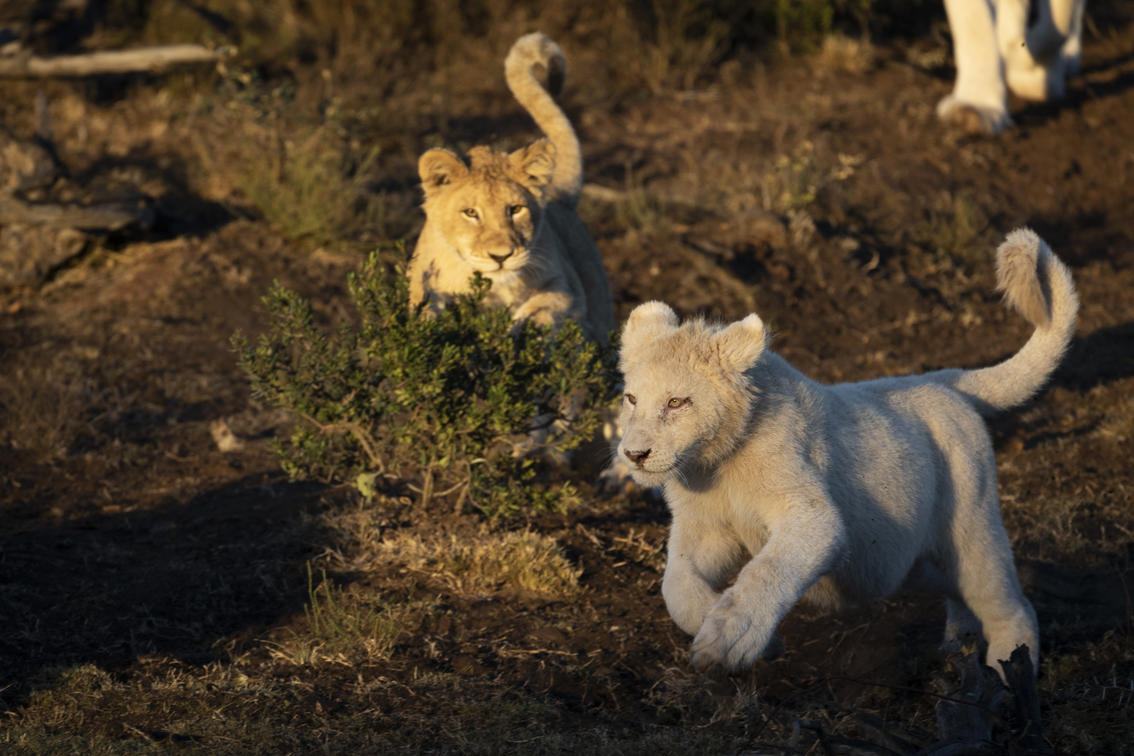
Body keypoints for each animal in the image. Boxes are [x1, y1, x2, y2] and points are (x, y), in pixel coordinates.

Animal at [407, 32, 614, 343]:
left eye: (515, 209)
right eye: (470, 213)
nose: (501, 256)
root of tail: (559, 197)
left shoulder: (568, 288)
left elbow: (542, 310)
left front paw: (517, 337)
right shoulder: (423, 281)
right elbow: (425, 310)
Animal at [616, 228, 1078, 677]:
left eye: (677, 402)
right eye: (631, 398)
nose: (634, 455)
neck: (713, 464)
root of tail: (946, 381)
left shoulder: (812, 515)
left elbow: (766, 570)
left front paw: (730, 640)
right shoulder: (706, 527)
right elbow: (676, 584)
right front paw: (745, 635)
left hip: (970, 528)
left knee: (1008, 602)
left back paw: (1007, 671)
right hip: (902, 563)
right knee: (957, 593)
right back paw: (956, 647)